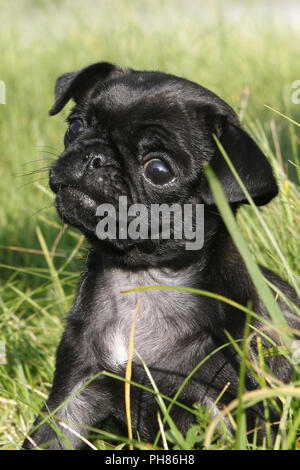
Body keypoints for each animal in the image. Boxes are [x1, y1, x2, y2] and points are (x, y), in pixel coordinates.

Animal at [23, 61, 300, 448]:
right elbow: (49, 436)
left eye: (158, 170)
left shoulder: (229, 404)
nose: (96, 157)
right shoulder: (74, 391)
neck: (142, 278)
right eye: (75, 127)